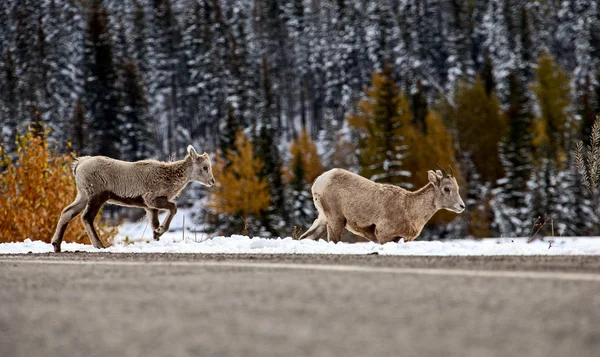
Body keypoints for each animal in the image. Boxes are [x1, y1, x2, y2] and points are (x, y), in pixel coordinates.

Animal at [51, 146, 216, 252]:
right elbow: (173, 208)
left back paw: (56, 245)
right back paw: (100, 245)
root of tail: (79, 166)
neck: (170, 177)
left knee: (67, 212)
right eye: (205, 167)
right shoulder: (151, 200)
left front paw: (156, 235)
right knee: (86, 217)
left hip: (83, 195)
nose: (212, 181)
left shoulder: (150, 208)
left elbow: (154, 224)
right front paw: (160, 231)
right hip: (97, 196)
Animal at [300, 166, 464, 243]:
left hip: (323, 219)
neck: (409, 208)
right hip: (336, 220)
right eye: (446, 189)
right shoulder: (383, 235)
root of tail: (320, 181)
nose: (462, 206)